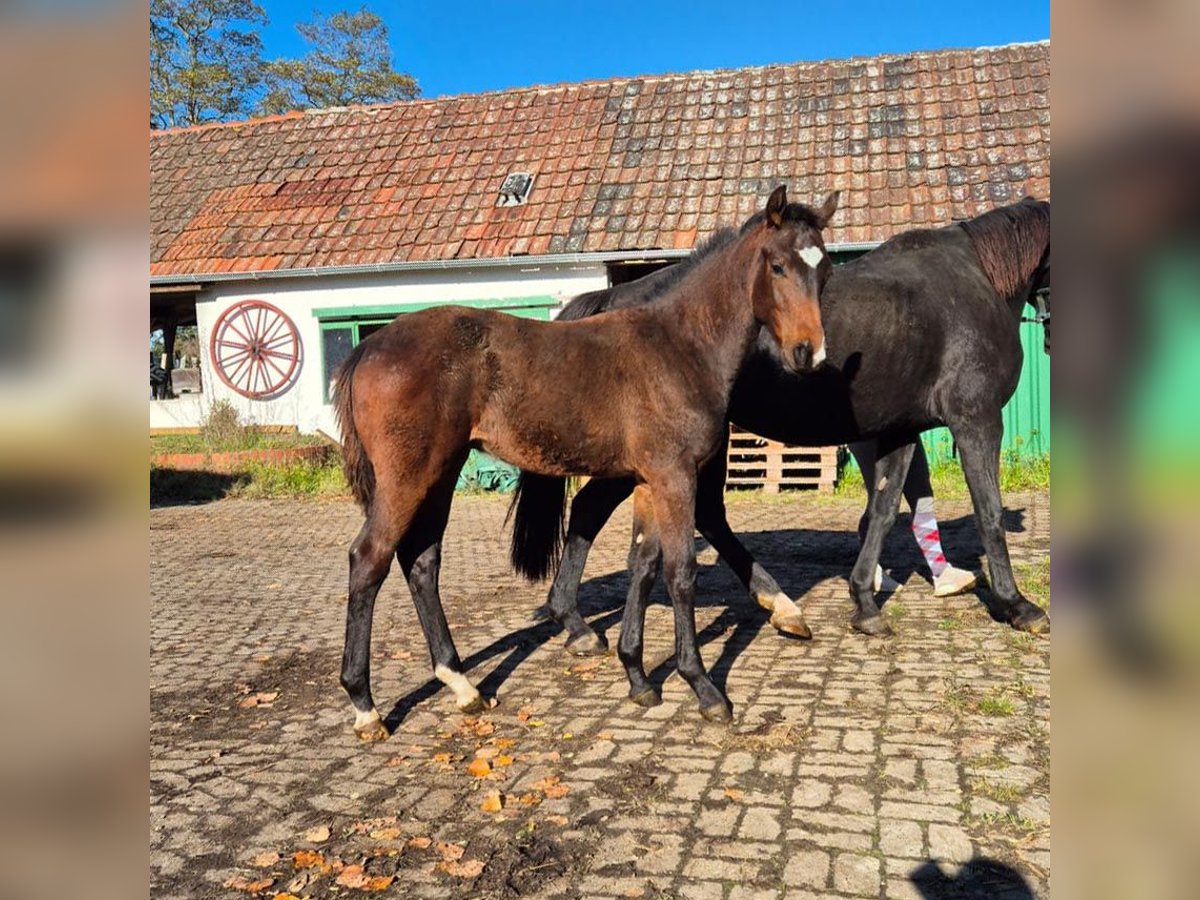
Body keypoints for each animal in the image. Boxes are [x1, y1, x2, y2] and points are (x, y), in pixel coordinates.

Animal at [333, 184, 840, 739]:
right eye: (777, 266)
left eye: (825, 271)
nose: (808, 355)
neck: (680, 346)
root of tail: (370, 347)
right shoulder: (675, 476)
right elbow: (680, 572)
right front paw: (704, 688)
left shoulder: (648, 480)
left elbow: (643, 565)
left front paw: (638, 677)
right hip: (408, 476)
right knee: (369, 559)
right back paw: (365, 706)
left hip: (441, 473)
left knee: (422, 561)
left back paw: (462, 683)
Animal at [513, 200, 1051, 710]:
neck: (978, 278)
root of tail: (614, 298)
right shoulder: (976, 418)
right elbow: (987, 511)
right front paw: (1017, 605)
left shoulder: (902, 429)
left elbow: (882, 509)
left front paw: (865, 601)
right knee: (628, 511)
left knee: (622, 512)